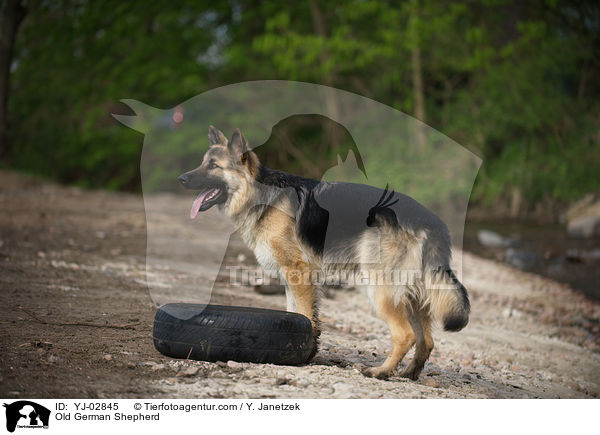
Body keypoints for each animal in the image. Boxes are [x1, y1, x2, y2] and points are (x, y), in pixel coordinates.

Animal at [178, 126, 468, 382]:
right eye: (203, 163)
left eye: (213, 166)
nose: (181, 179)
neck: (261, 194)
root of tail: (431, 221)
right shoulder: (292, 278)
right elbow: (294, 314)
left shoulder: (299, 272)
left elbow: (306, 316)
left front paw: (305, 355)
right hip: (412, 294)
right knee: (426, 340)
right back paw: (409, 373)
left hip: (381, 289)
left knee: (405, 335)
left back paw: (381, 372)